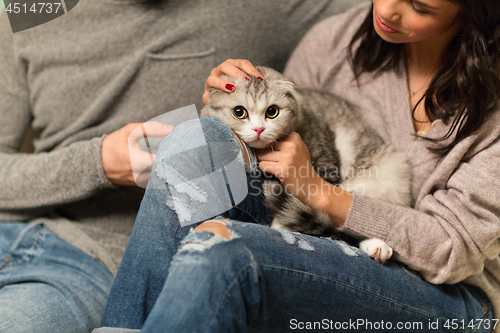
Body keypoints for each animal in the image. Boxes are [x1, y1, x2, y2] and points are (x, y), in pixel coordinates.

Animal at [198, 65, 410, 262]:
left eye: (272, 111)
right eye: (239, 112)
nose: (258, 129)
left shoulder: (326, 163)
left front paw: (280, 227)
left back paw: (377, 246)